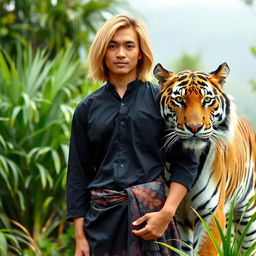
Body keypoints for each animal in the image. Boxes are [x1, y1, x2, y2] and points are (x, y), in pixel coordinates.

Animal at [153, 62, 255, 256]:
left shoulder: (211, 215)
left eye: (207, 100)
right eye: (179, 100)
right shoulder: (173, 215)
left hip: (249, 215)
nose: (195, 127)